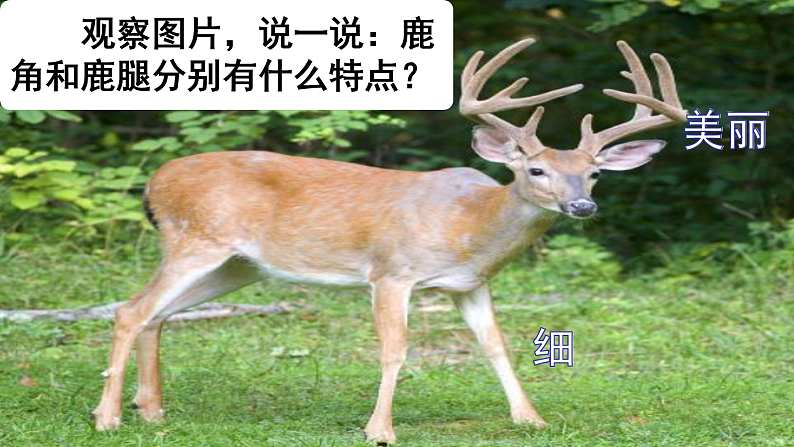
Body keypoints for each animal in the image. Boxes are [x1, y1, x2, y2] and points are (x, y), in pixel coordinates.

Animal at [93, 39, 686, 444]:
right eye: (536, 170)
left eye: (594, 175)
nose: (582, 206)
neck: (470, 224)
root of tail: (156, 180)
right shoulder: (391, 272)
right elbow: (395, 348)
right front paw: (379, 429)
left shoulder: (471, 284)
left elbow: (496, 345)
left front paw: (531, 418)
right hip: (195, 236)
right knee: (130, 309)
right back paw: (108, 417)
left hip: (239, 265)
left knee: (157, 314)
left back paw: (152, 409)